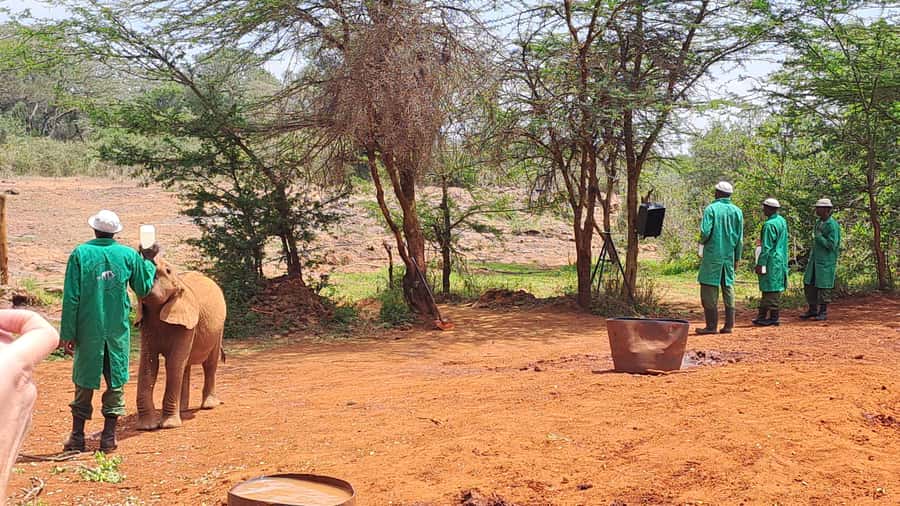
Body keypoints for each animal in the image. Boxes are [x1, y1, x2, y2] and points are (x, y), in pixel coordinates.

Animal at [135, 259, 226, 430]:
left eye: (167, 270)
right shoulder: (146, 323)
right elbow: (148, 364)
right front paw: (147, 427)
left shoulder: (187, 323)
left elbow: (173, 363)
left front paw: (169, 426)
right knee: (185, 366)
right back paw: (183, 409)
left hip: (219, 329)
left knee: (209, 364)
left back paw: (208, 405)